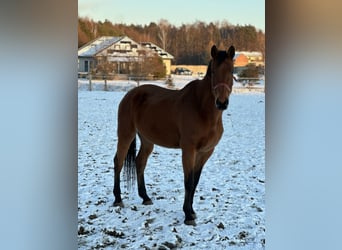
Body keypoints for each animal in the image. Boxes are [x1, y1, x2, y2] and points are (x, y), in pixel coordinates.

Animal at [113, 44, 235, 226]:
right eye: (213, 71)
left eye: (231, 70)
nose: (221, 103)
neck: (202, 109)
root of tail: (130, 94)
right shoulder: (188, 150)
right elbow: (188, 182)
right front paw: (187, 215)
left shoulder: (205, 152)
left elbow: (195, 182)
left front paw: (192, 212)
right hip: (126, 134)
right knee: (118, 162)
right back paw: (118, 199)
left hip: (147, 140)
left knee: (140, 162)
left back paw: (145, 197)